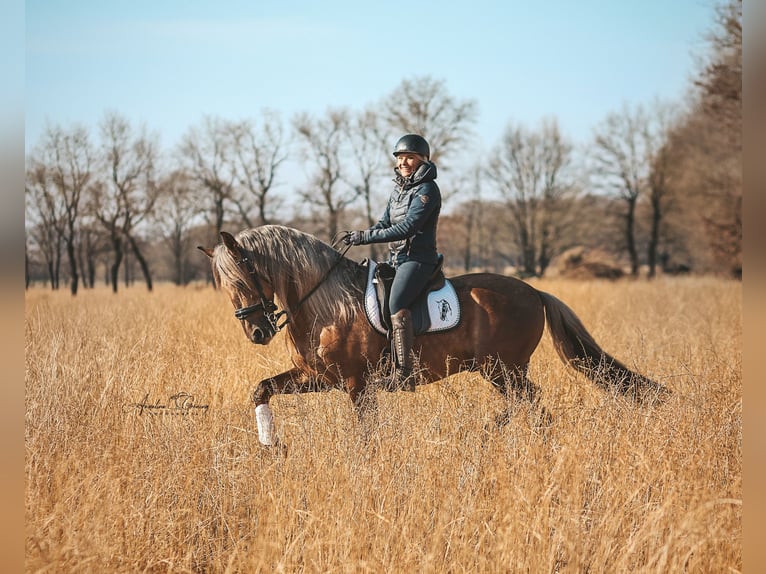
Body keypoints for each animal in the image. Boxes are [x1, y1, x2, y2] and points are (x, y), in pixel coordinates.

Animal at [200, 227, 672, 448]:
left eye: (245, 276)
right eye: (226, 286)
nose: (257, 331)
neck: (325, 303)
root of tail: (534, 292)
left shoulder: (355, 383)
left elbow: (366, 430)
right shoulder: (317, 376)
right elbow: (261, 389)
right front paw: (271, 445)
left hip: (502, 367)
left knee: (530, 404)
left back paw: (491, 433)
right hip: (500, 370)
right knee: (525, 404)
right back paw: (492, 432)